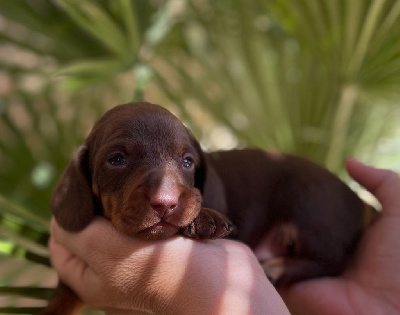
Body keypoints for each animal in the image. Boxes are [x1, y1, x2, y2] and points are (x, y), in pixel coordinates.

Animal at [39, 102, 376, 314]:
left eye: (187, 161)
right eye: (117, 159)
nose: (165, 202)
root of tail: (361, 203)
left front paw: (203, 217)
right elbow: (62, 298)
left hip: (312, 205)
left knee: (331, 260)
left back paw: (276, 267)